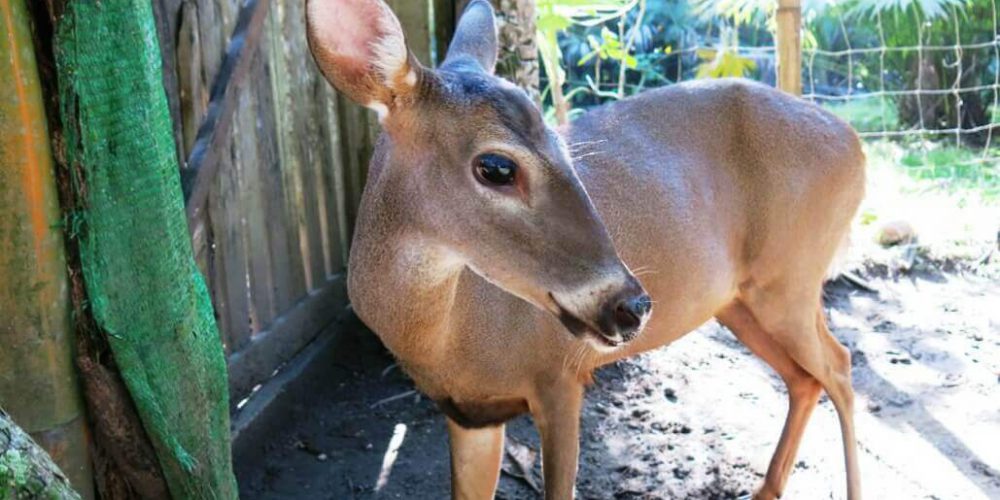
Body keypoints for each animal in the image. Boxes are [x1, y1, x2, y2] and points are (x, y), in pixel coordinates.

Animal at [306, 1, 868, 498]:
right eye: (497, 166)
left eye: (563, 145)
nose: (631, 305)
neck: (449, 342)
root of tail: (856, 143)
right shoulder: (467, 414)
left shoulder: (560, 377)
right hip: (738, 300)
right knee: (805, 379)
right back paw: (765, 489)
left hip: (791, 278)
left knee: (840, 366)